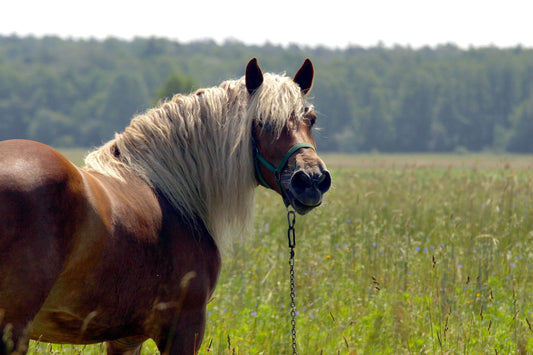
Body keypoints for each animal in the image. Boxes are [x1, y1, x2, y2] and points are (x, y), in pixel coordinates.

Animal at [0, 57, 330, 354]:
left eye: (311, 119)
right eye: (261, 122)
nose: (311, 179)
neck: (171, 193)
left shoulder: (126, 339)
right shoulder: (185, 330)